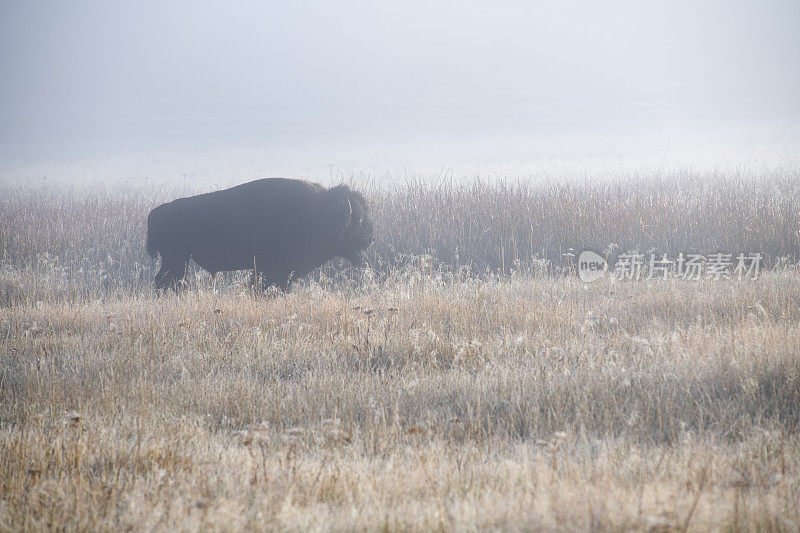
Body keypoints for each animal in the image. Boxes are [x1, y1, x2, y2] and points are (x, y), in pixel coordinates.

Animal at [145, 177, 374, 288]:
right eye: (359, 220)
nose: (370, 239)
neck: (318, 211)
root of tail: (155, 212)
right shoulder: (268, 268)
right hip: (176, 259)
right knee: (168, 281)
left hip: (179, 260)